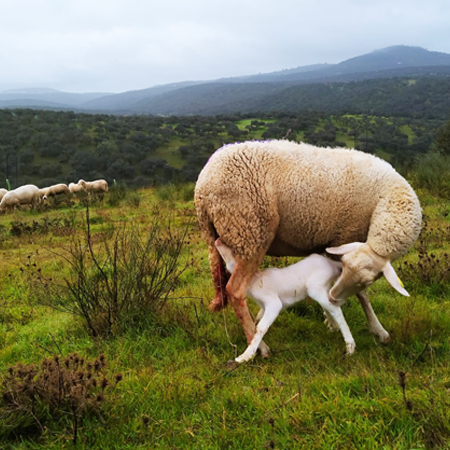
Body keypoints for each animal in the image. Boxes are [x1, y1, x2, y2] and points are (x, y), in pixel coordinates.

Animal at [215, 238, 356, 363]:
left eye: (234, 252)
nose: (217, 240)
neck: (255, 281)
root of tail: (333, 265)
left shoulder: (273, 303)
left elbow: (261, 327)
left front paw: (245, 356)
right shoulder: (264, 307)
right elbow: (257, 320)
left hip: (315, 288)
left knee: (336, 309)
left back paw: (350, 347)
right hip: (323, 287)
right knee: (330, 305)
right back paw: (334, 327)